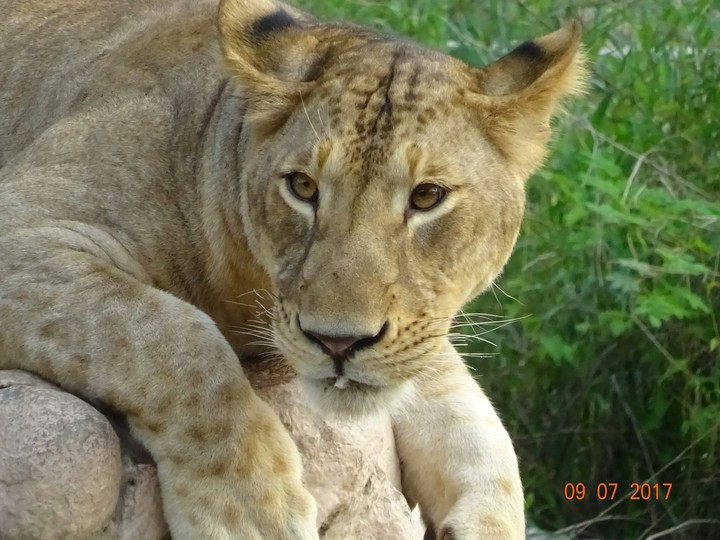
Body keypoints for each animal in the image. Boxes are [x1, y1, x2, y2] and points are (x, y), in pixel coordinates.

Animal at [0, 0, 586, 538]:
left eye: (427, 197)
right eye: (303, 187)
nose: (338, 343)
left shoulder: (423, 328)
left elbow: (476, 429)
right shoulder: (22, 231)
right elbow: (174, 338)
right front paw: (247, 511)